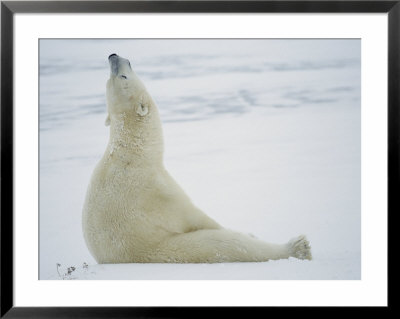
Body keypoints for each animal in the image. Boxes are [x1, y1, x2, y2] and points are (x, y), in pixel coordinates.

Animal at [82, 54, 312, 264]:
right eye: (123, 76)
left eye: (116, 76)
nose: (113, 56)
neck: (134, 152)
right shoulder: (157, 190)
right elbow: (194, 215)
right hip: (181, 247)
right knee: (232, 245)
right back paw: (297, 246)